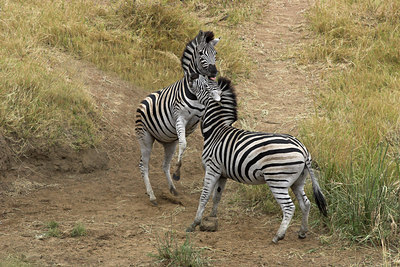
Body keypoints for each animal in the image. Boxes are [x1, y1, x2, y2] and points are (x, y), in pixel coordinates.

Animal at [136, 30, 220, 205]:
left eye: (215, 53)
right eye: (201, 53)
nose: (214, 72)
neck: (195, 93)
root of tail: (143, 100)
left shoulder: (198, 121)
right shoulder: (179, 118)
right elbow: (184, 144)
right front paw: (178, 172)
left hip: (168, 142)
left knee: (164, 165)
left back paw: (172, 189)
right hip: (145, 138)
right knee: (143, 165)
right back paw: (152, 195)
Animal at [186, 77, 326, 243]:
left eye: (204, 84)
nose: (190, 79)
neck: (216, 131)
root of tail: (303, 149)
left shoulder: (212, 168)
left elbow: (205, 196)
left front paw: (195, 223)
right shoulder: (222, 173)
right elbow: (217, 196)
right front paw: (212, 219)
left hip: (277, 180)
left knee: (289, 207)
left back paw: (278, 235)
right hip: (298, 180)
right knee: (306, 204)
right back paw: (302, 232)